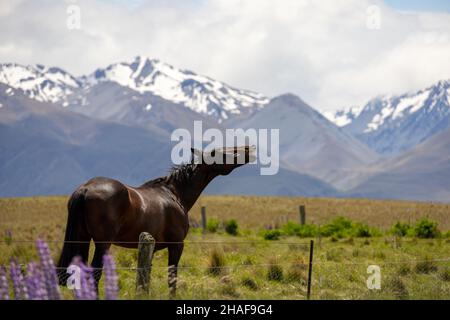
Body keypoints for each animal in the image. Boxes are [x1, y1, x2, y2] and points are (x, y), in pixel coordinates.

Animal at [57, 146, 253, 296]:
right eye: (218, 153)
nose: (247, 149)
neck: (173, 193)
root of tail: (85, 188)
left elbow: (145, 279)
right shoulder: (176, 245)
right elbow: (172, 278)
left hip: (83, 239)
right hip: (102, 244)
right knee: (94, 275)